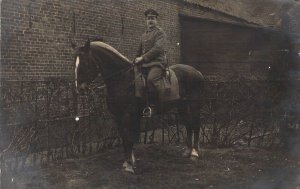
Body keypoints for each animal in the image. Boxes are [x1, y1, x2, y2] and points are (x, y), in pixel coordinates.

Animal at [73, 39, 204, 173]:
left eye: (85, 62)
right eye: (75, 63)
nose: (80, 89)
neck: (123, 78)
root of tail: (197, 72)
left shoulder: (128, 115)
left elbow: (129, 138)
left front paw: (129, 165)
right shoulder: (118, 116)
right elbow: (124, 137)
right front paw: (128, 161)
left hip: (194, 106)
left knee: (196, 125)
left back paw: (194, 152)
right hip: (182, 106)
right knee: (189, 125)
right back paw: (187, 151)